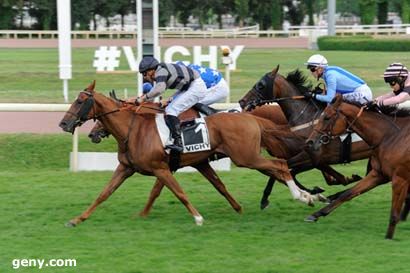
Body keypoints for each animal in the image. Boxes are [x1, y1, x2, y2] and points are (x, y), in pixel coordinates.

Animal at [59, 82, 318, 226]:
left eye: (80, 101)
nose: (63, 123)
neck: (135, 129)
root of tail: (251, 117)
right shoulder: (128, 168)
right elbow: (104, 194)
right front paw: (77, 219)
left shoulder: (162, 168)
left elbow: (177, 192)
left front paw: (198, 218)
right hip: (248, 156)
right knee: (281, 168)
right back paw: (309, 195)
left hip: (246, 157)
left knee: (281, 166)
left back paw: (305, 196)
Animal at [239, 67, 374, 207]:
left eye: (261, 85)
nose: (242, 101)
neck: (307, 117)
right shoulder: (314, 157)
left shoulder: (311, 156)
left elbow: (287, 170)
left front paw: (265, 198)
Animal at [306, 94, 410, 239]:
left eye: (326, 117)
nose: (309, 142)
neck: (390, 136)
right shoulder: (379, 174)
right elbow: (349, 193)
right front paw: (316, 214)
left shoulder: (400, 179)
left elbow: (394, 213)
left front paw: (388, 237)